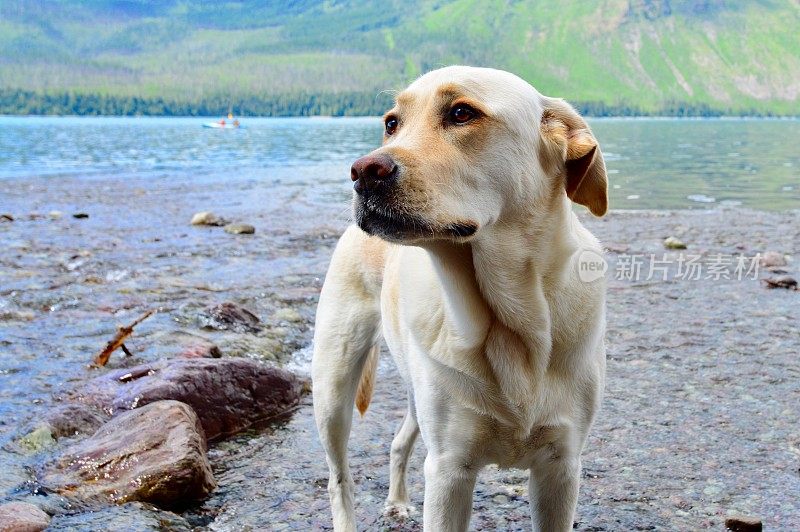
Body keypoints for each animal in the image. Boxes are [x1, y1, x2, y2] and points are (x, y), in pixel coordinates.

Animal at [312, 66, 608, 532]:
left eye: (461, 113)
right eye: (391, 123)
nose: (363, 171)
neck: (509, 320)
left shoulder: (561, 468)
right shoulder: (449, 471)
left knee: (399, 441)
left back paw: (397, 501)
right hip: (332, 385)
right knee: (338, 479)